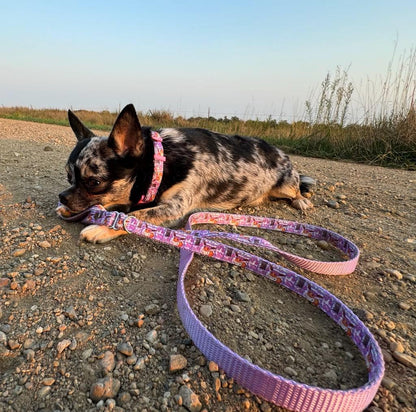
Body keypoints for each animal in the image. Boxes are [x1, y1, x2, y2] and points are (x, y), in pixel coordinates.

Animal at [57, 104, 314, 245]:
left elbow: (135, 216)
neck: (160, 161)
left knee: (297, 188)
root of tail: (281, 152)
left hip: (285, 184)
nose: (62, 197)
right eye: (69, 177)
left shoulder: (174, 208)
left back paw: (301, 200)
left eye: (95, 182)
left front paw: (102, 227)